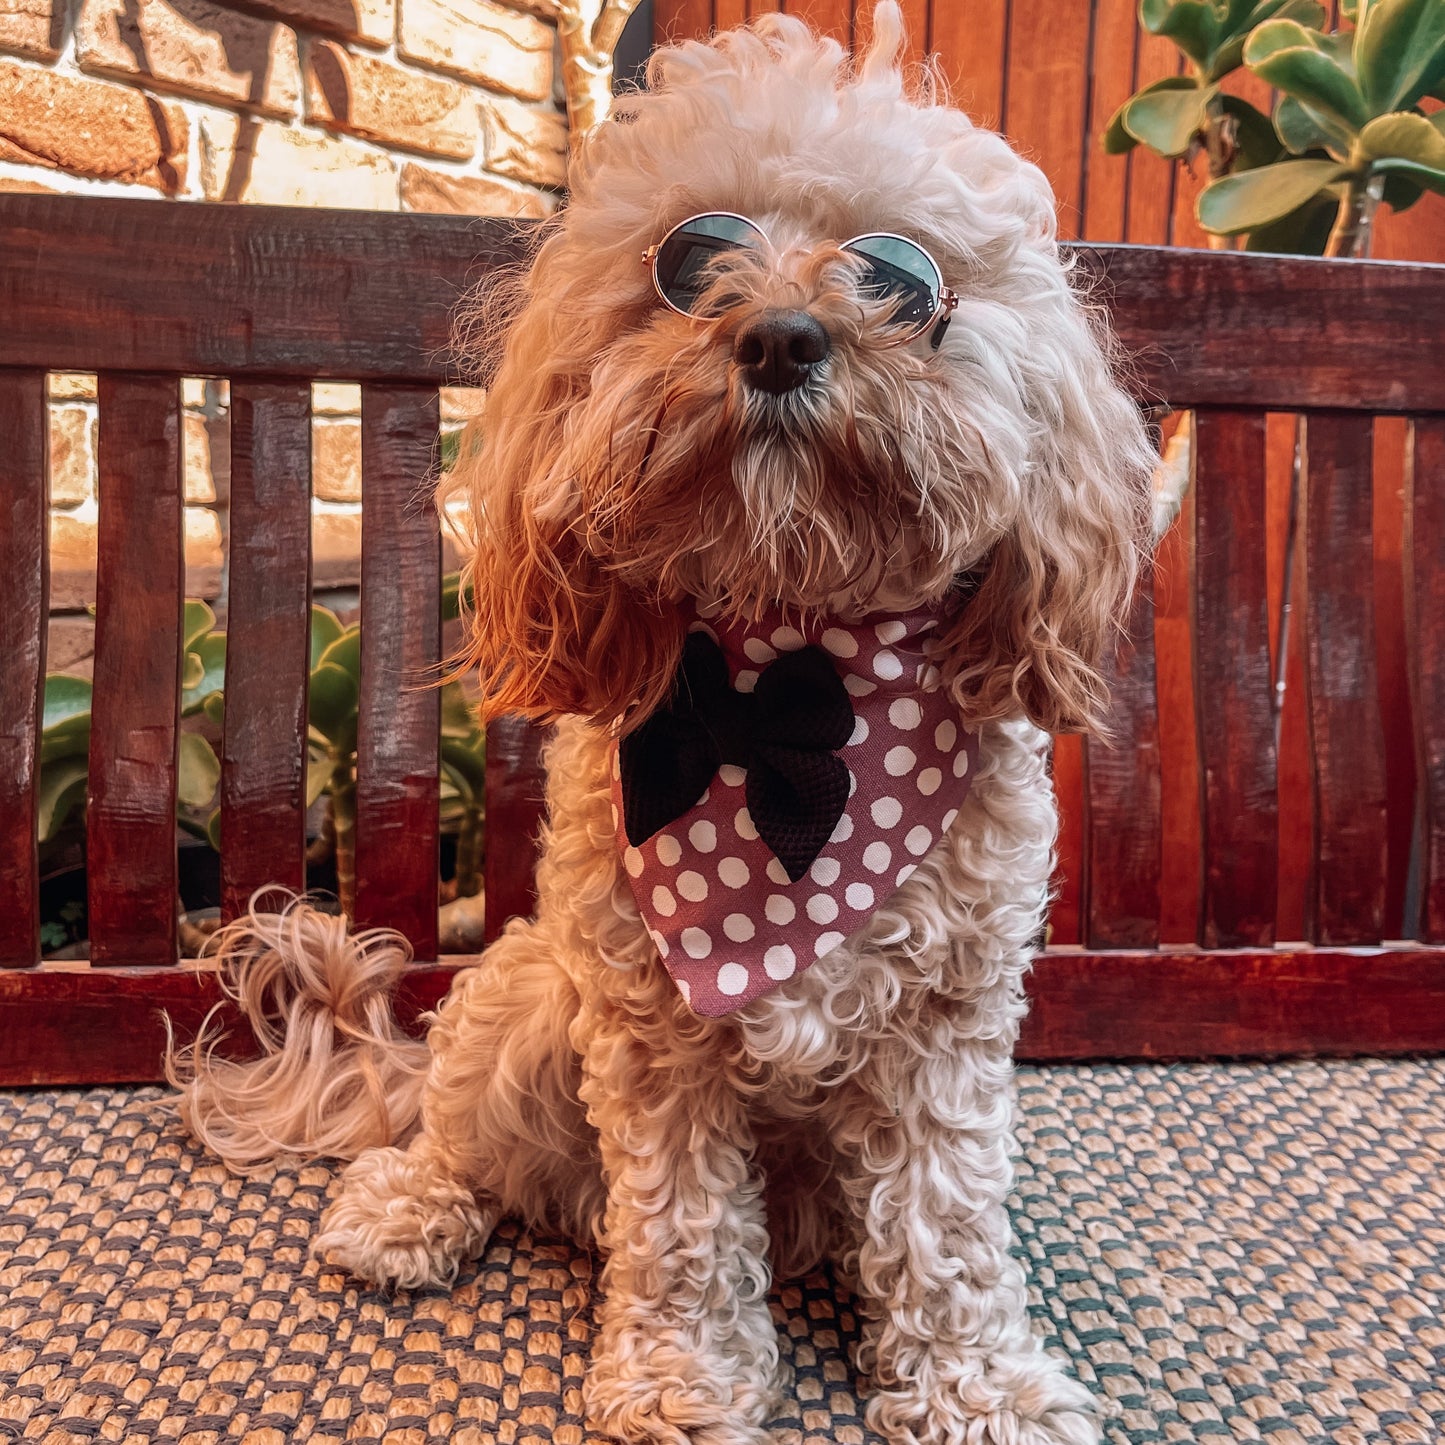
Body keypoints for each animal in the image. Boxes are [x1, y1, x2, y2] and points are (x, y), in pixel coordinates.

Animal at [174, 5, 1156, 1439]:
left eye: (898, 278)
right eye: (692, 259)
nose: (782, 337)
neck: (794, 693)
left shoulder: (948, 1026)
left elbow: (944, 1222)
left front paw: (978, 1384)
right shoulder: (647, 1027)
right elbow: (680, 1222)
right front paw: (683, 1376)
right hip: (526, 996)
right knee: (458, 1129)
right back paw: (410, 1202)